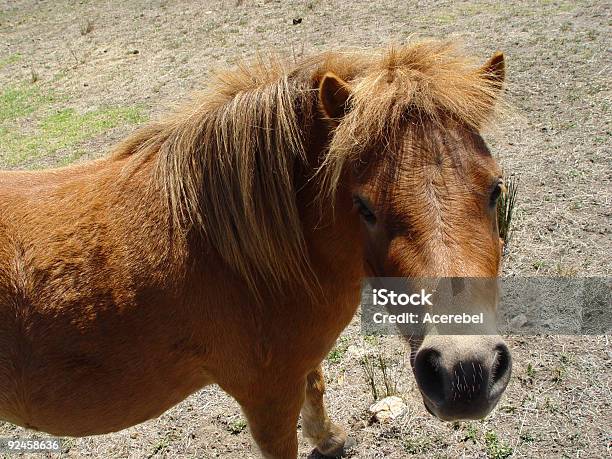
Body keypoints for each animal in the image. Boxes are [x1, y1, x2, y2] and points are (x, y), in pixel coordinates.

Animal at [1, 40, 512, 459]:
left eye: (495, 190)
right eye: (363, 206)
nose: (465, 373)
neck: (239, 258)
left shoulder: (298, 364)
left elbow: (316, 385)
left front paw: (329, 438)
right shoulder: (266, 395)